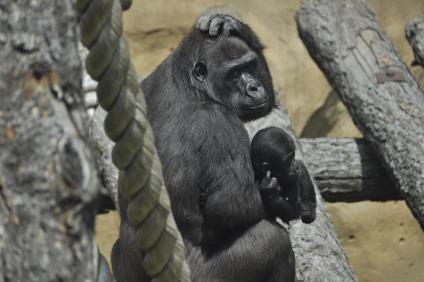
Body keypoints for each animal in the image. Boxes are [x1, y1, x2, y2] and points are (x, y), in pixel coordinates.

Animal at [111, 13, 294, 282]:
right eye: (235, 73)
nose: (254, 87)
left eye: (250, 66)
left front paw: (230, 24)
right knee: (273, 240)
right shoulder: (218, 121)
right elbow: (232, 206)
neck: (192, 85)